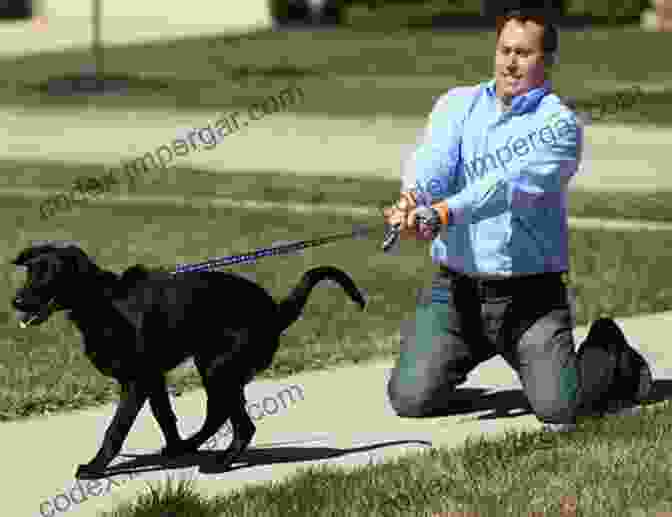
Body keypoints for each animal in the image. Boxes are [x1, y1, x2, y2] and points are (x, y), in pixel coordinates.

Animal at [9, 244, 368, 478]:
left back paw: (221, 463)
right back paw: (193, 446)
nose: (16, 301)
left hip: (218, 368)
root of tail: (275, 311)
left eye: (50, 274)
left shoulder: (136, 382)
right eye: (30, 272)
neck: (104, 304)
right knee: (219, 414)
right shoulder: (153, 378)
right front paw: (176, 447)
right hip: (215, 367)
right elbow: (165, 417)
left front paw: (96, 467)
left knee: (242, 424)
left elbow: (116, 429)